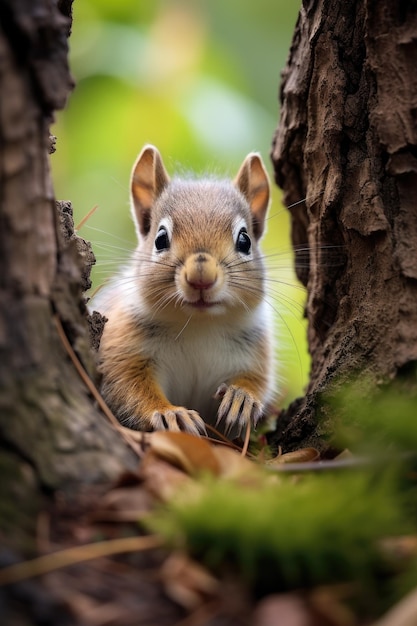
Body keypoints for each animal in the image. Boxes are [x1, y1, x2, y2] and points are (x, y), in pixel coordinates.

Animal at [95, 144, 274, 436]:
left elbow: (257, 380)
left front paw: (242, 398)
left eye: (245, 240)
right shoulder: (122, 344)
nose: (202, 277)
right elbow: (129, 386)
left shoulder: (255, 352)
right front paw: (171, 414)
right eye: (160, 239)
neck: (198, 324)